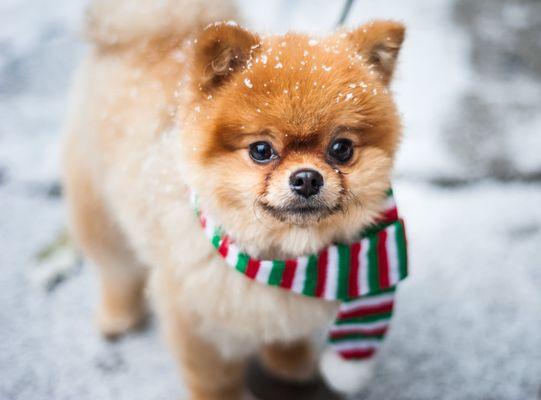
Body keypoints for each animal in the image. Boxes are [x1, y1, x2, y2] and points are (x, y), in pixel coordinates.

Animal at [62, 0, 404, 396]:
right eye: (261, 150)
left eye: (341, 148)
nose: (306, 178)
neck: (280, 261)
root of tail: (155, 32)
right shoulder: (196, 327)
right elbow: (215, 380)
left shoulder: (289, 312)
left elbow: (286, 335)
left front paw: (291, 363)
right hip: (97, 208)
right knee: (115, 267)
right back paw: (117, 315)